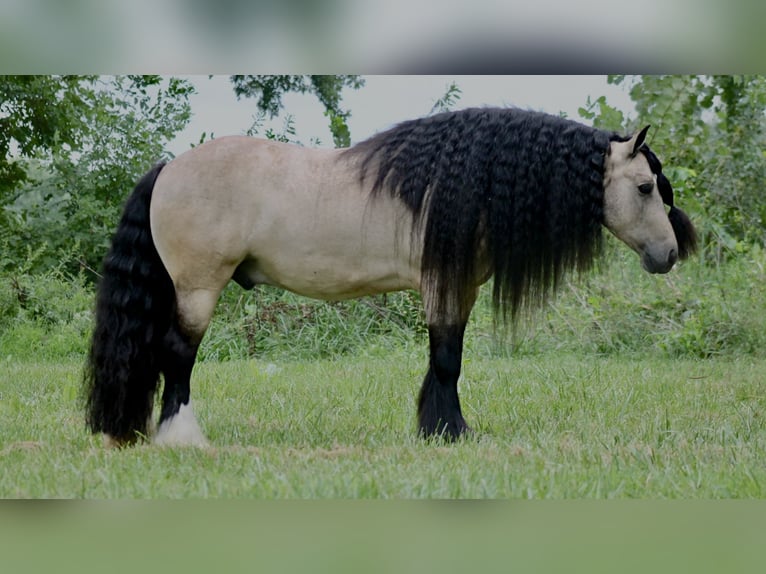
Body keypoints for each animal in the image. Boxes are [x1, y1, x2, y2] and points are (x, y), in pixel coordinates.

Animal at [82, 109, 696, 450]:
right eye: (645, 187)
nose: (668, 254)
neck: (461, 187)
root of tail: (171, 167)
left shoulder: (459, 289)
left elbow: (446, 358)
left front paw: (437, 427)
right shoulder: (442, 286)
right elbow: (446, 360)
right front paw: (450, 433)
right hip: (198, 289)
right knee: (178, 356)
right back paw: (182, 437)